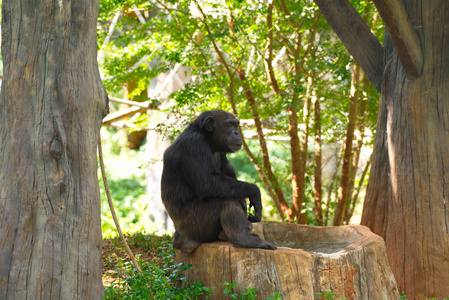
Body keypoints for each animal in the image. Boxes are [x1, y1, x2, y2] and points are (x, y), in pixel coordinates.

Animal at [159, 109, 274, 252]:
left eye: (236, 125)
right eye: (228, 125)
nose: (236, 132)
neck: (209, 140)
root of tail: (181, 242)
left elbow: (228, 171)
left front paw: (245, 203)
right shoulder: (195, 143)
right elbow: (207, 183)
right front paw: (255, 193)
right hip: (195, 227)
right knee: (225, 200)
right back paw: (243, 239)